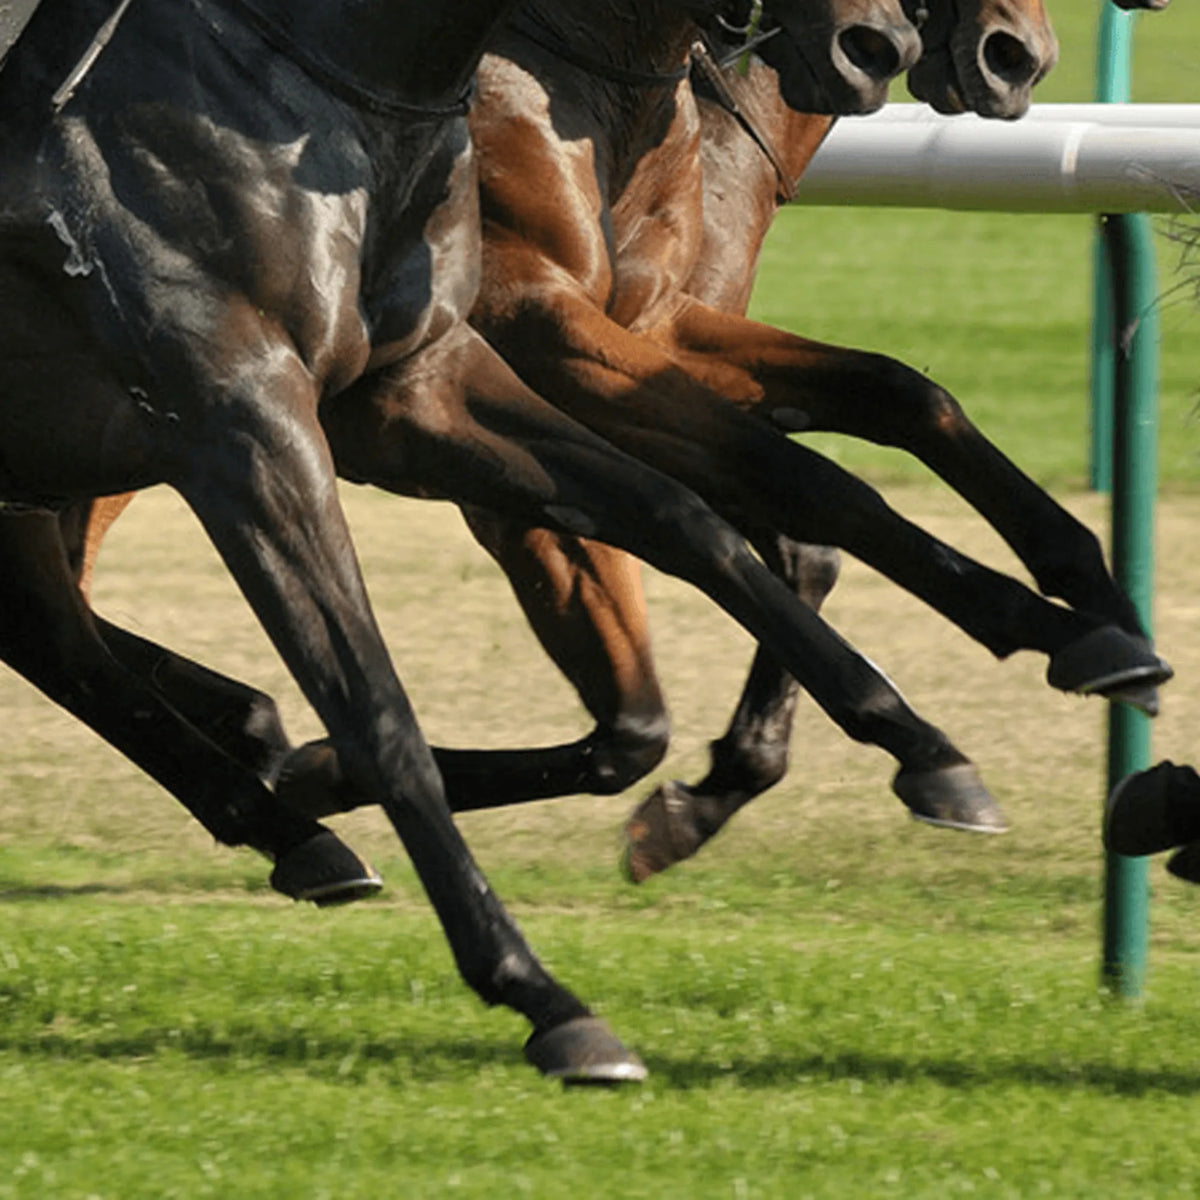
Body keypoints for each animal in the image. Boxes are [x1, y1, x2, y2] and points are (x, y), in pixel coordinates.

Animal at [0, 0, 970, 1081]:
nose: (879, 44)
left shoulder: (425, 385)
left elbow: (697, 518)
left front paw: (928, 733)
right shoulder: (248, 423)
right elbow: (382, 715)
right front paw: (543, 996)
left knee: (57, 636)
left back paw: (278, 798)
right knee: (63, 634)